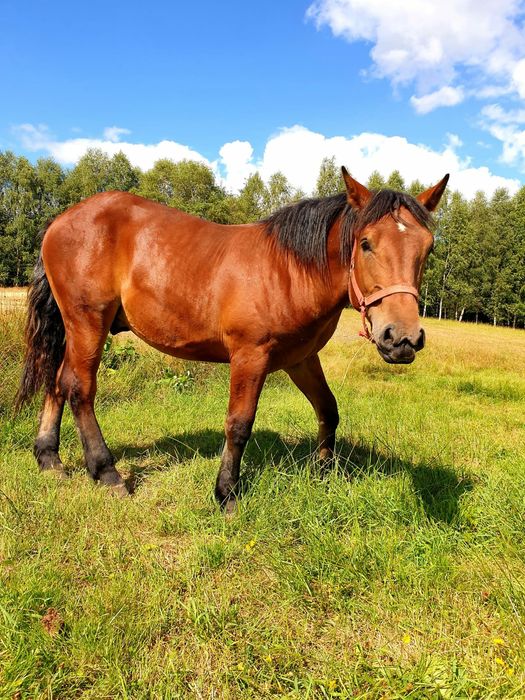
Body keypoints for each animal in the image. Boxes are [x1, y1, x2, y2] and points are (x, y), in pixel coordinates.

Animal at [18, 167, 448, 512]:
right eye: (366, 243)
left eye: (427, 247)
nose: (402, 338)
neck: (288, 270)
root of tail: (61, 220)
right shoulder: (250, 356)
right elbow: (239, 424)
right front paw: (226, 493)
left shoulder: (301, 359)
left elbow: (329, 410)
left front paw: (323, 472)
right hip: (88, 321)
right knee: (80, 389)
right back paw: (107, 473)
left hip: (76, 328)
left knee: (58, 382)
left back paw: (49, 459)